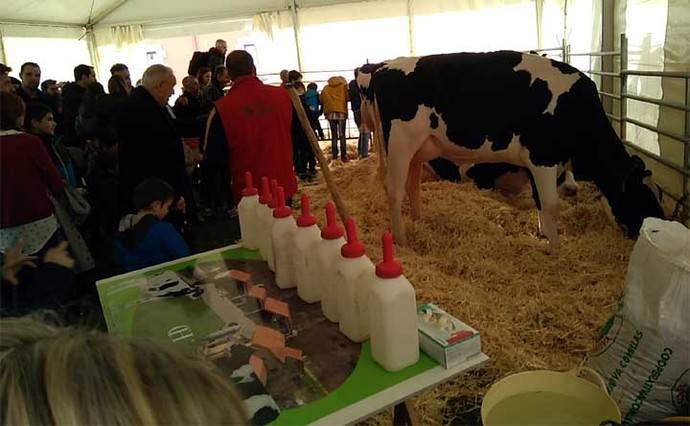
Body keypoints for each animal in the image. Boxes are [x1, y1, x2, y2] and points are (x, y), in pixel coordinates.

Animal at [354, 50, 660, 251]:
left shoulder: (539, 162)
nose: (653, 227)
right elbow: (551, 204)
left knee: (413, 184)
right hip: (399, 144)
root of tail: (383, 68)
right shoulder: (542, 156)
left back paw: (419, 219)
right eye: (643, 196)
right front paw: (556, 249)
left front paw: (543, 234)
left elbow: (540, 202)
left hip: (419, 149)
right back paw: (402, 239)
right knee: (394, 190)